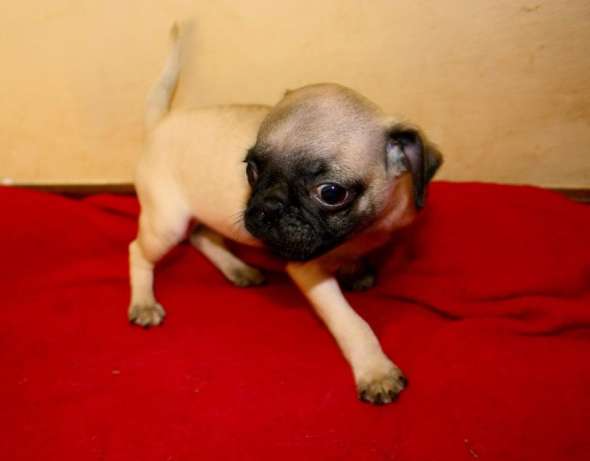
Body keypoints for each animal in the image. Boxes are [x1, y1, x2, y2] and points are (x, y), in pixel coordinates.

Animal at [130, 24, 444, 402]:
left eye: (330, 193)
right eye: (251, 169)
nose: (266, 206)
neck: (364, 227)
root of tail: (160, 124)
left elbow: (356, 259)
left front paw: (356, 271)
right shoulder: (308, 272)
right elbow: (353, 323)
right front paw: (375, 370)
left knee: (202, 236)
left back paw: (238, 269)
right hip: (166, 223)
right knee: (140, 251)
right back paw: (144, 302)